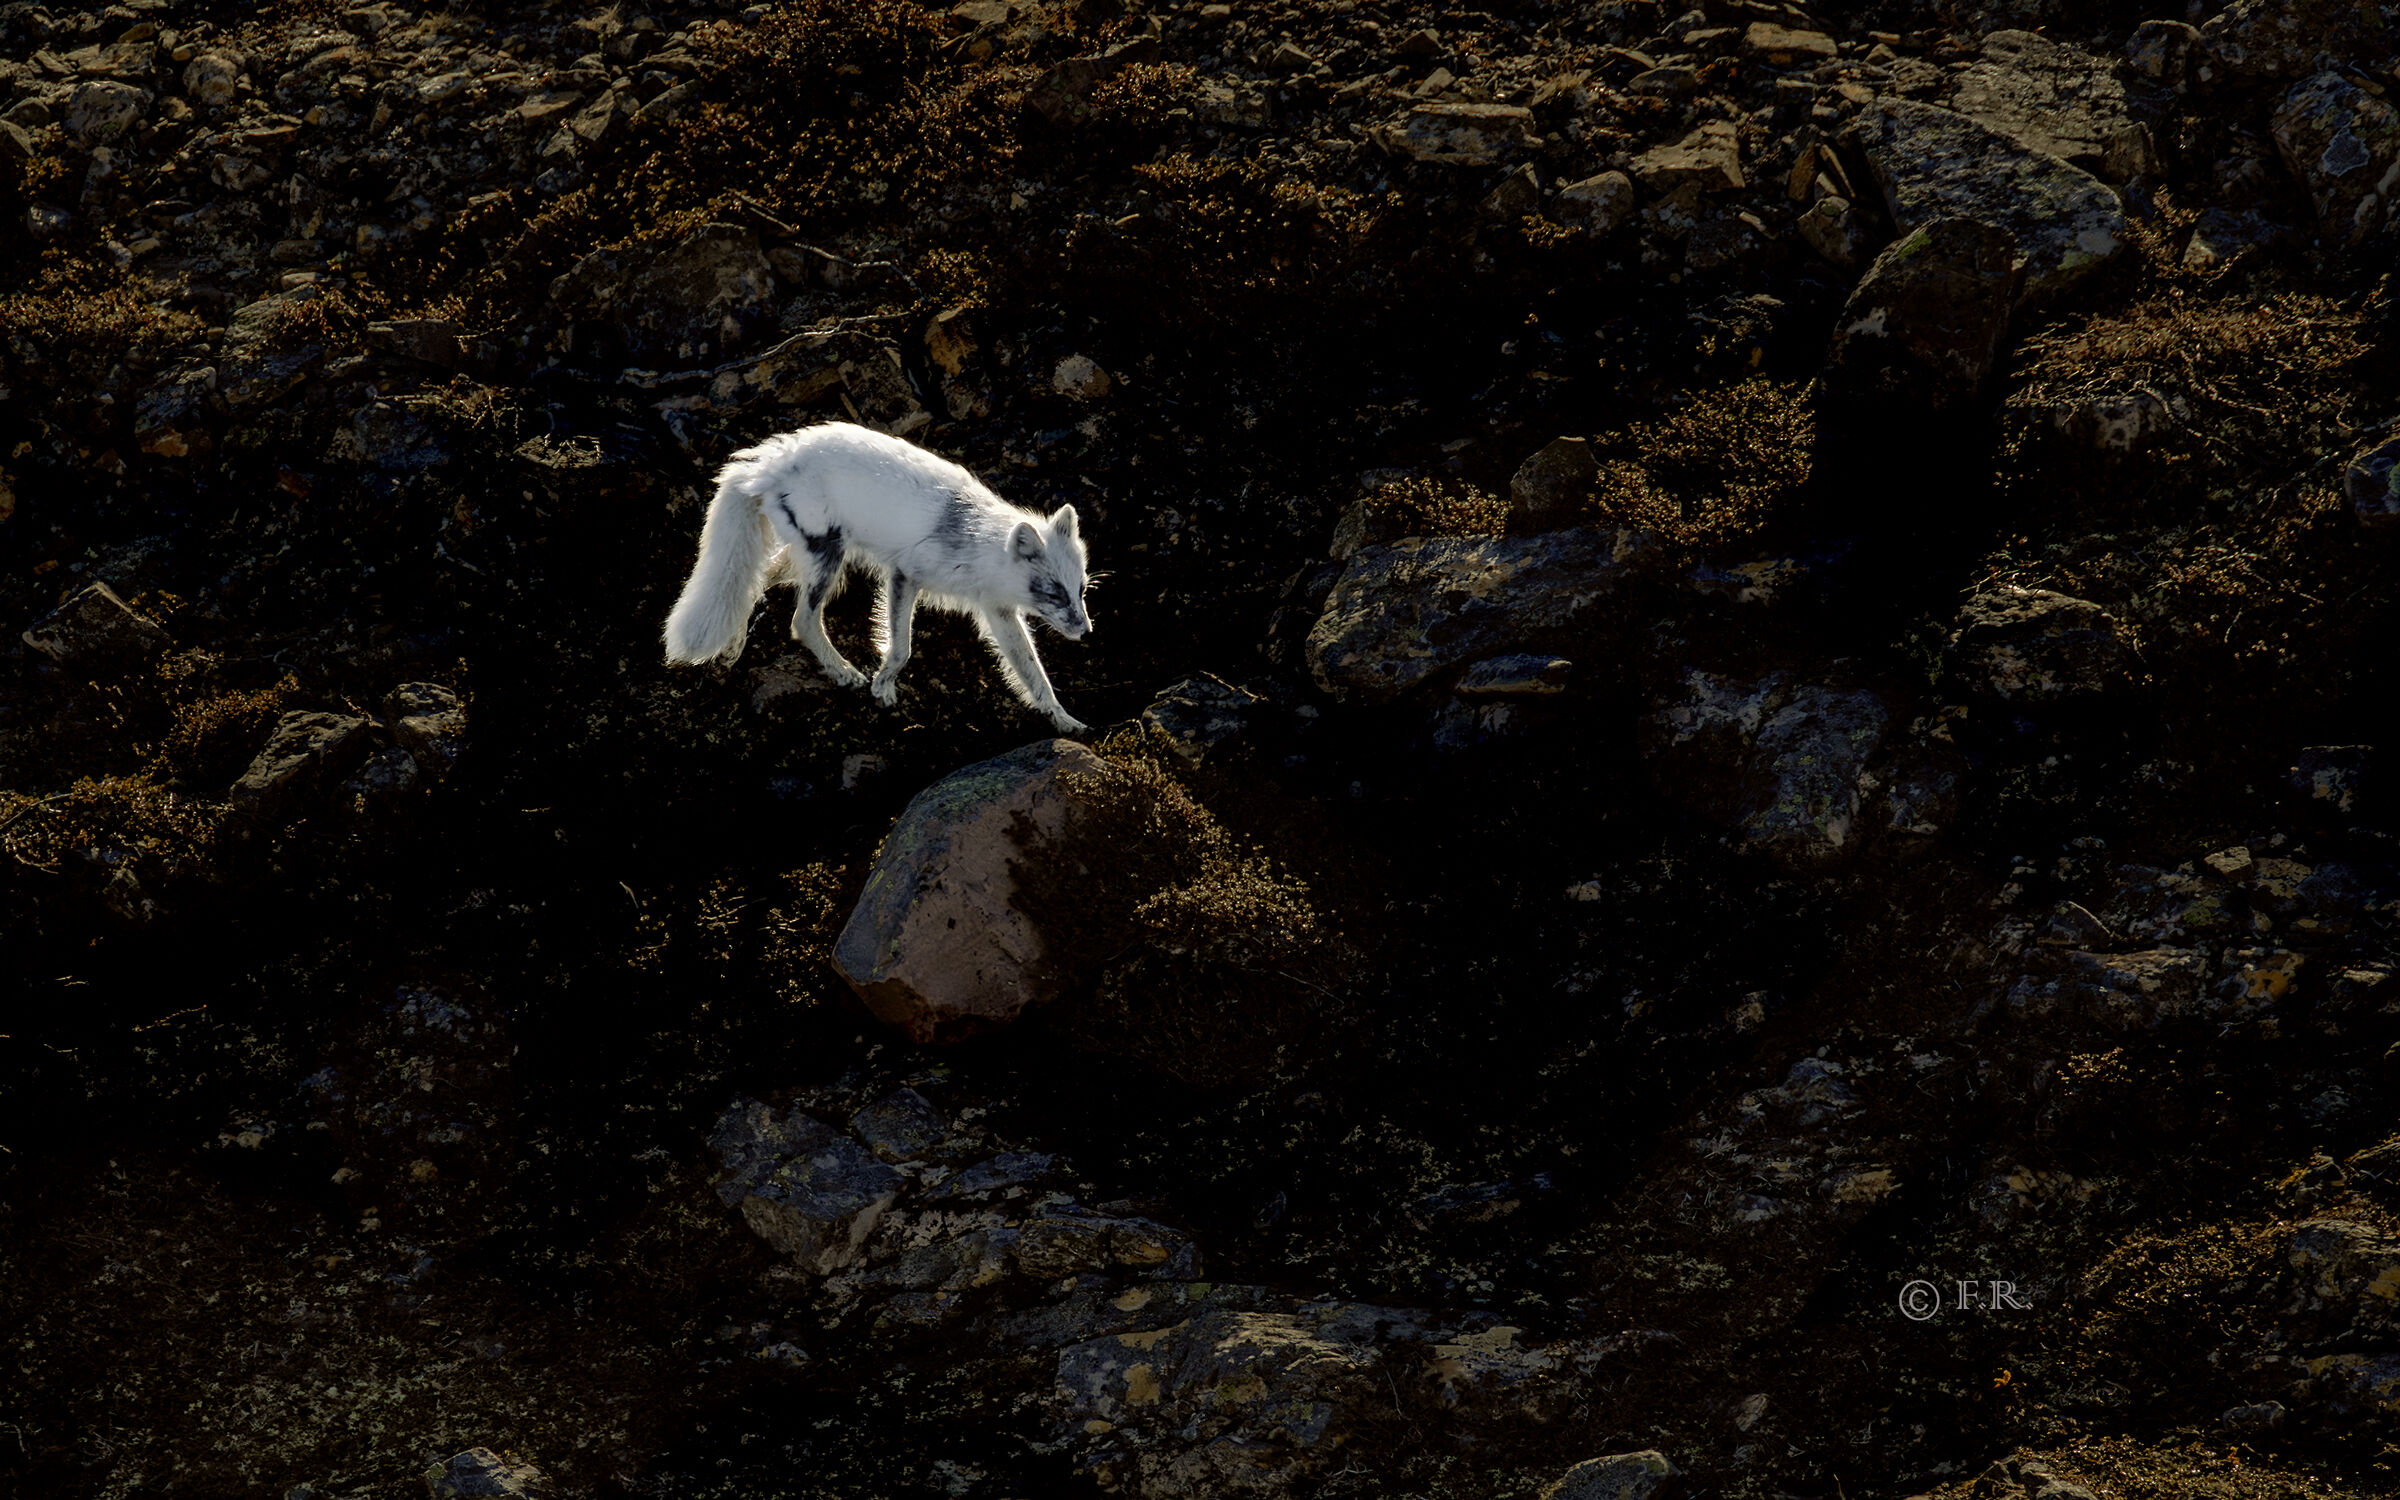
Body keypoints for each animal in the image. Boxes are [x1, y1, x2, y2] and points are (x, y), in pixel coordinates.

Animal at [662, 422, 1094, 734]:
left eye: (1081, 590)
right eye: (1055, 593)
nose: (1087, 632)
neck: (977, 544)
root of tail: (768, 462)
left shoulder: (998, 611)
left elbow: (1034, 673)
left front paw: (1063, 719)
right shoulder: (905, 575)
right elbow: (901, 647)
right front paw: (882, 685)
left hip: (814, 560)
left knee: (755, 581)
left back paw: (732, 648)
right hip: (828, 561)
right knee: (801, 621)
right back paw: (842, 672)